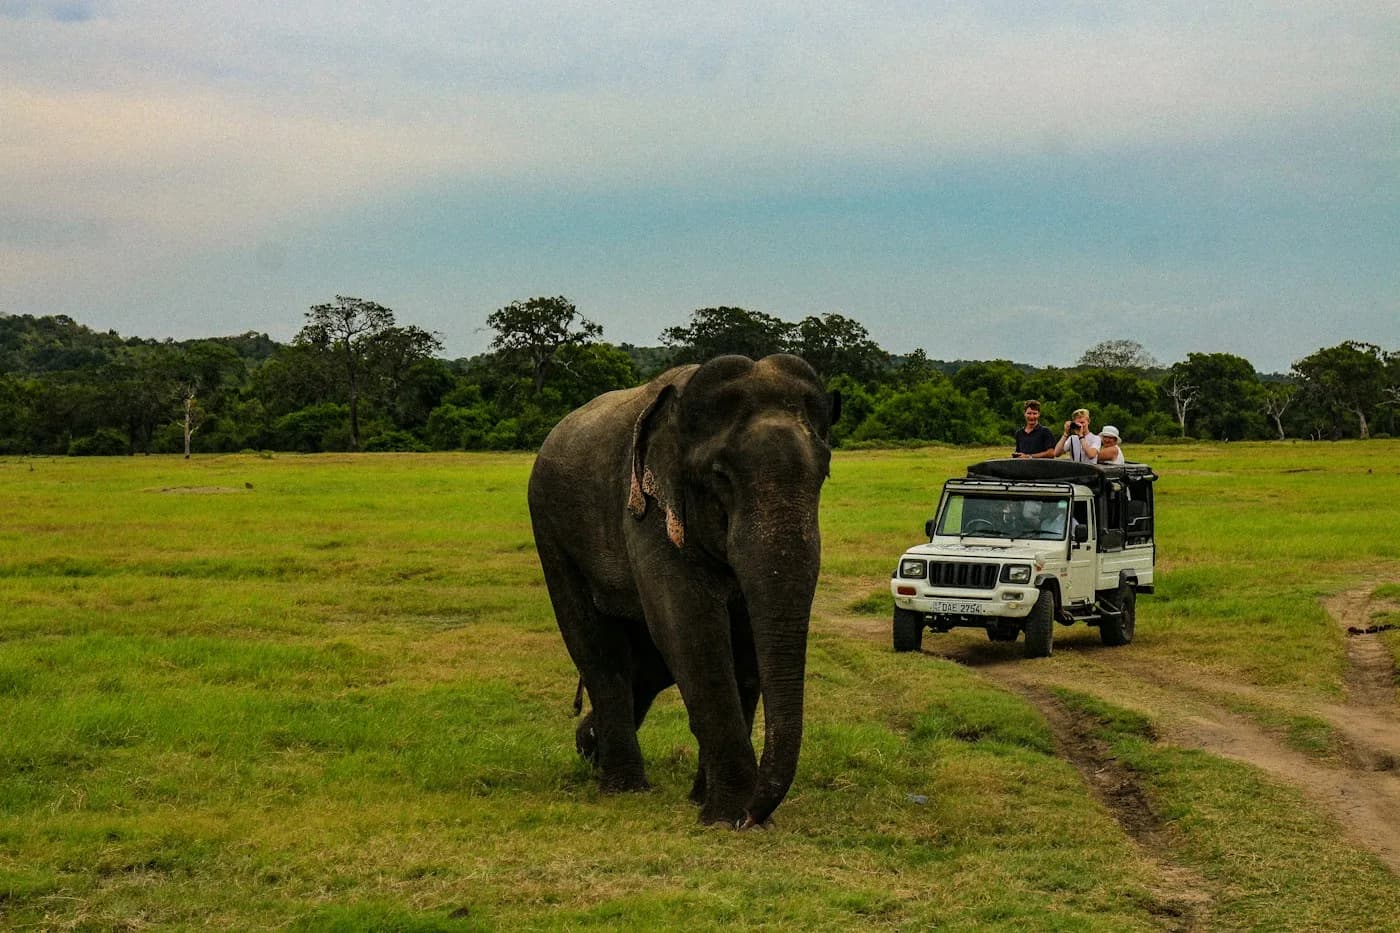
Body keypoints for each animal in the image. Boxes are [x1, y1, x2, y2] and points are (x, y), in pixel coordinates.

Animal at [528, 354, 839, 827]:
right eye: (720, 476)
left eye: (824, 473)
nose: (755, 815)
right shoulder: (649, 510)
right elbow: (690, 626)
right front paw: (727, 817)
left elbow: (742, 641)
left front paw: (712, 804)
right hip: (550, 530)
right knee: (599, 650)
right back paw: (623, 785)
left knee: (646, 664)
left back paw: (590, 748)